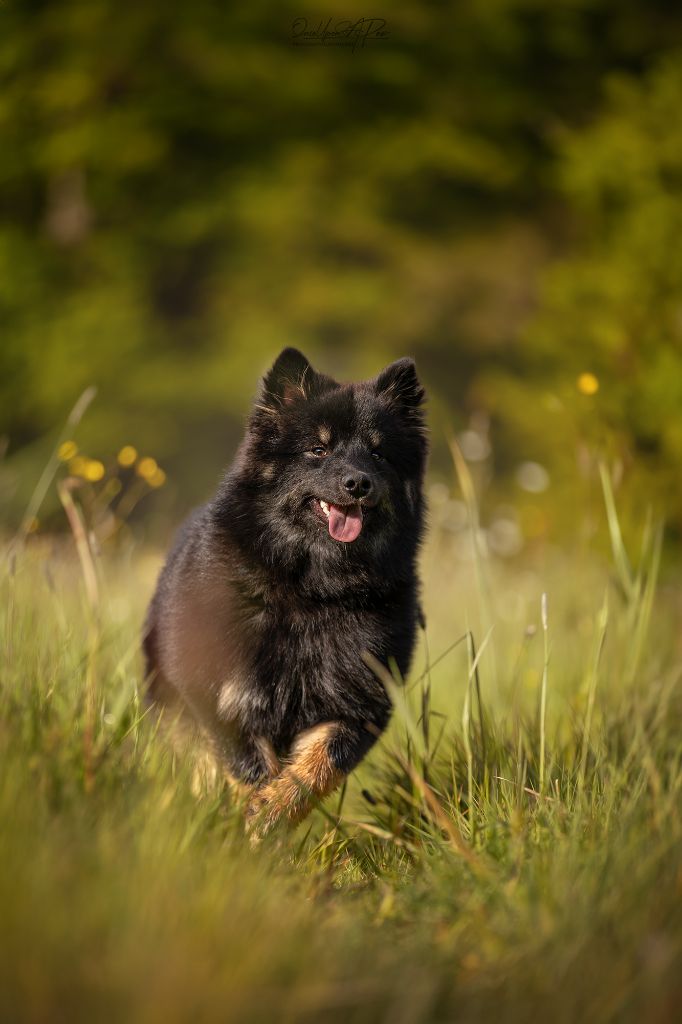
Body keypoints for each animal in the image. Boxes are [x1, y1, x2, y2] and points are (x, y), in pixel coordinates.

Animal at [142, 348, 425, 835]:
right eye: (318, 449)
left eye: (378, 453)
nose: (358, 483)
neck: (312, 590)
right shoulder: (218, 696)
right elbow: (248, 768)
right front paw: (250, 821)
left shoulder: (359, 706)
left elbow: (314, 772)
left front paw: (270, 816)